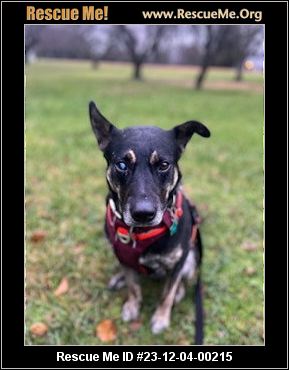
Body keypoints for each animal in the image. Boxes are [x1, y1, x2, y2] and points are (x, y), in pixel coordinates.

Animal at [88, 100, 209, 342]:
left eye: (163, 164)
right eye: (122, 165)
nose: (143, 214)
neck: (137, 233)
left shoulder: (179, 261)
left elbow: (167, 294)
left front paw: (161, 319)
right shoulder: (124, 257)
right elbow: (134, 287)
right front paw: (132, 307)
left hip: (192, 260)